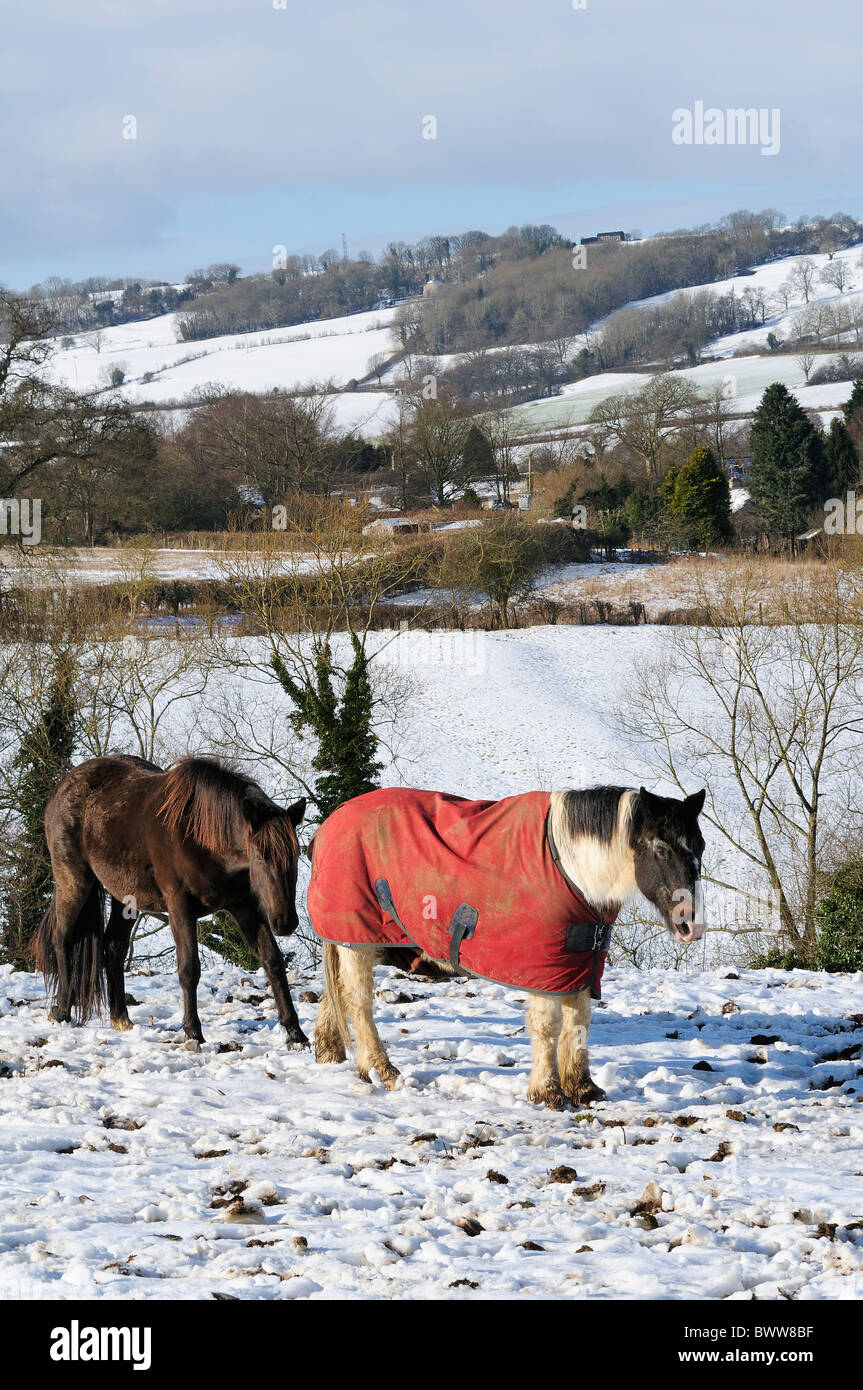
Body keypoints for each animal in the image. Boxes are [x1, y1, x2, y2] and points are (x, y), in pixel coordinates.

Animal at [34, 754, 308, 1047]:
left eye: (294, 855)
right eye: (260, 856)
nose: (285, 922)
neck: (202, 835)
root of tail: (62, 786)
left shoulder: (246, 906)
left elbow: (273, 961)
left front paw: (295, 1031)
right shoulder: (180, 907)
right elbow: (189, 969)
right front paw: (193, 1031)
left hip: (125, 897)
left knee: (113, 946)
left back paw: (120, 1017)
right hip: (74, 880)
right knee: (62, 939)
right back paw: (62, 1010)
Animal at [308, 784, 706, 1107]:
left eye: (699, 847)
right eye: (661, 848)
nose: (692, 924)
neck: (572, 868)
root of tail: (330, 823)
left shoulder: (580, 962)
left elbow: (578, 1022)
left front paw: (583, 1088)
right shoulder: (543, 969)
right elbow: (548, 1026)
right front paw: (548, 1092)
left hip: (361, 942)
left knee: (337, 992)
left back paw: (331, 1053)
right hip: (358, 942)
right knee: (358, 1003)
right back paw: (382, 1070)